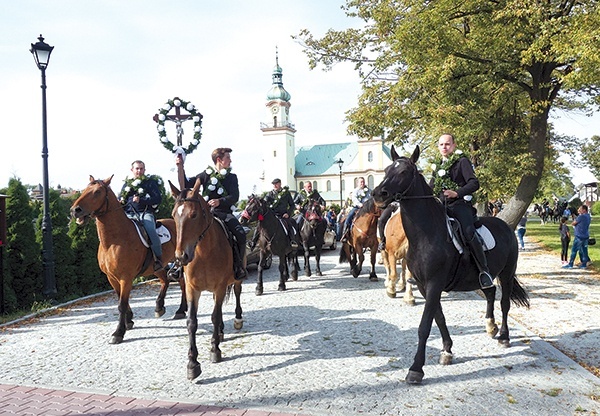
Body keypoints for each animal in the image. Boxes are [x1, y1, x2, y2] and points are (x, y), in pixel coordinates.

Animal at [69, 176, 185, 344]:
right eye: (85, 189)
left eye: (97, 192)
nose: (75, 210)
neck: (114, 240)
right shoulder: (112, 278)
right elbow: (122, 301)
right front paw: (129, 321)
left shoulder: (126, 278)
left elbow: (121, 305)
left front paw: (118, 332)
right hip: (157, 267)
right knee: (165, 281)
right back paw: (159, 307)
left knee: (182, 284)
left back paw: (181, 310)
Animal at [168, 179, 243, 380]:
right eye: (173, 215)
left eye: (193, 215)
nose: (181, 257)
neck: (204, 252)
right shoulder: (192, 289)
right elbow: (192, 322)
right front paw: (193, 363)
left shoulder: (220, 286)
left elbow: (214, 316)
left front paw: (215, 350)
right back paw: (221, 332)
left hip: (236, 280)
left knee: (237, 294)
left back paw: (237, 319)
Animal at [372, 145, 532, 384]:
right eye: (386, 170)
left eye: (403, 172)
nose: (377, 194)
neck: (427, 234)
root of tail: (504, 225)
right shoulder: (425, 285)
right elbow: (439, 318)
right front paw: (447, 350)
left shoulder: (435, 284)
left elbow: (425, 325)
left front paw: (416, 369)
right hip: (483, 275)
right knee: (490, 292)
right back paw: (490, 326)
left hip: (506, 272)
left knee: (504, 302)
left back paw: (503, 335)